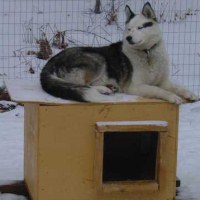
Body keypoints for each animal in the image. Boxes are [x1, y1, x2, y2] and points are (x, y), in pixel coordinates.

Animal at [40, 2, 198, 104]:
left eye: (140, 28)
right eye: (129, 29)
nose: (128, 38)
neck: (147, 53)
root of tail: (50, 62)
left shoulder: (163, 81)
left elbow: (177, 87)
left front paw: (190, 94)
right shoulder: (135, 86)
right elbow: (157, 90)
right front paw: (172, 96)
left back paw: (109, 87)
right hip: (96, 59)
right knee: (81, 84)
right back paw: (104, 89)